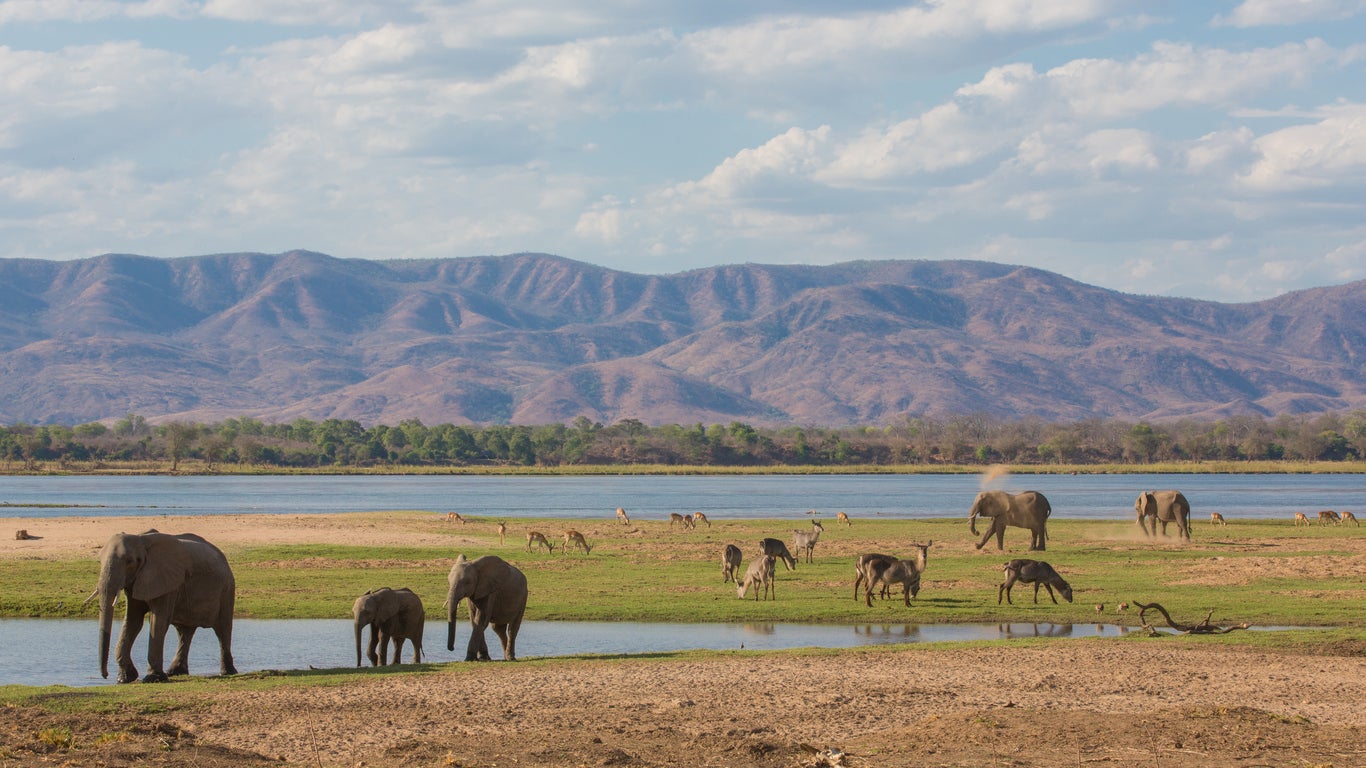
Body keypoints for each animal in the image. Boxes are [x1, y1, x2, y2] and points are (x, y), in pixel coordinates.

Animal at [95, 524, 237, 680]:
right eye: (99, 561)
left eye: (130, 562)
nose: (105, 675)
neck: (140, 539)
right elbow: (133, 621)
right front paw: (125, 678)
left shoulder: (168, 583)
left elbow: (158, 622)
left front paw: (153, 678)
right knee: (184, 632)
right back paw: (175, 672)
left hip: (227, 589)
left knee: (223, 629)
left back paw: (227, 672)